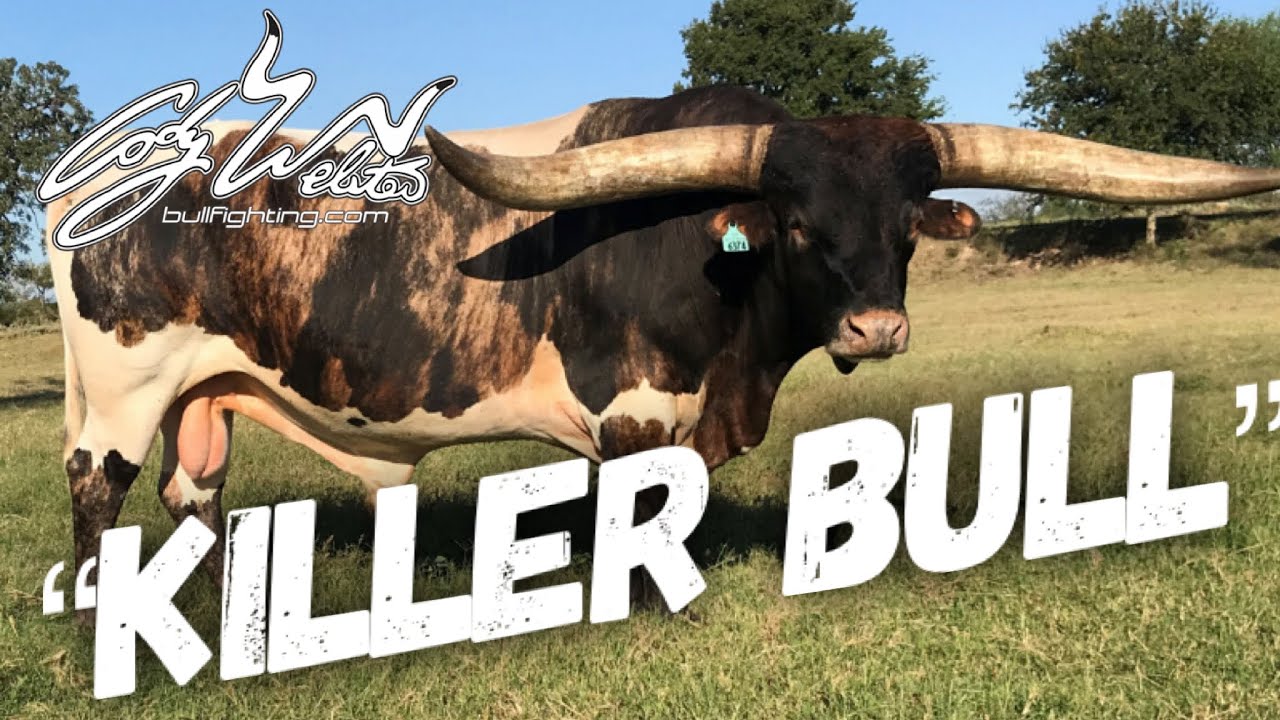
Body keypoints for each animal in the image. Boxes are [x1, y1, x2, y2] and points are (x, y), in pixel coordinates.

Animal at [49, 85, 1280, 616]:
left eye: (905, 228)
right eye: (795, 222)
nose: (876, 329)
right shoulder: (633, 407)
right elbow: (647, 510)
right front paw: (653, 599)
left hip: (202, 391)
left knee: (193, 494)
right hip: (122, 389)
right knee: (98, 491)